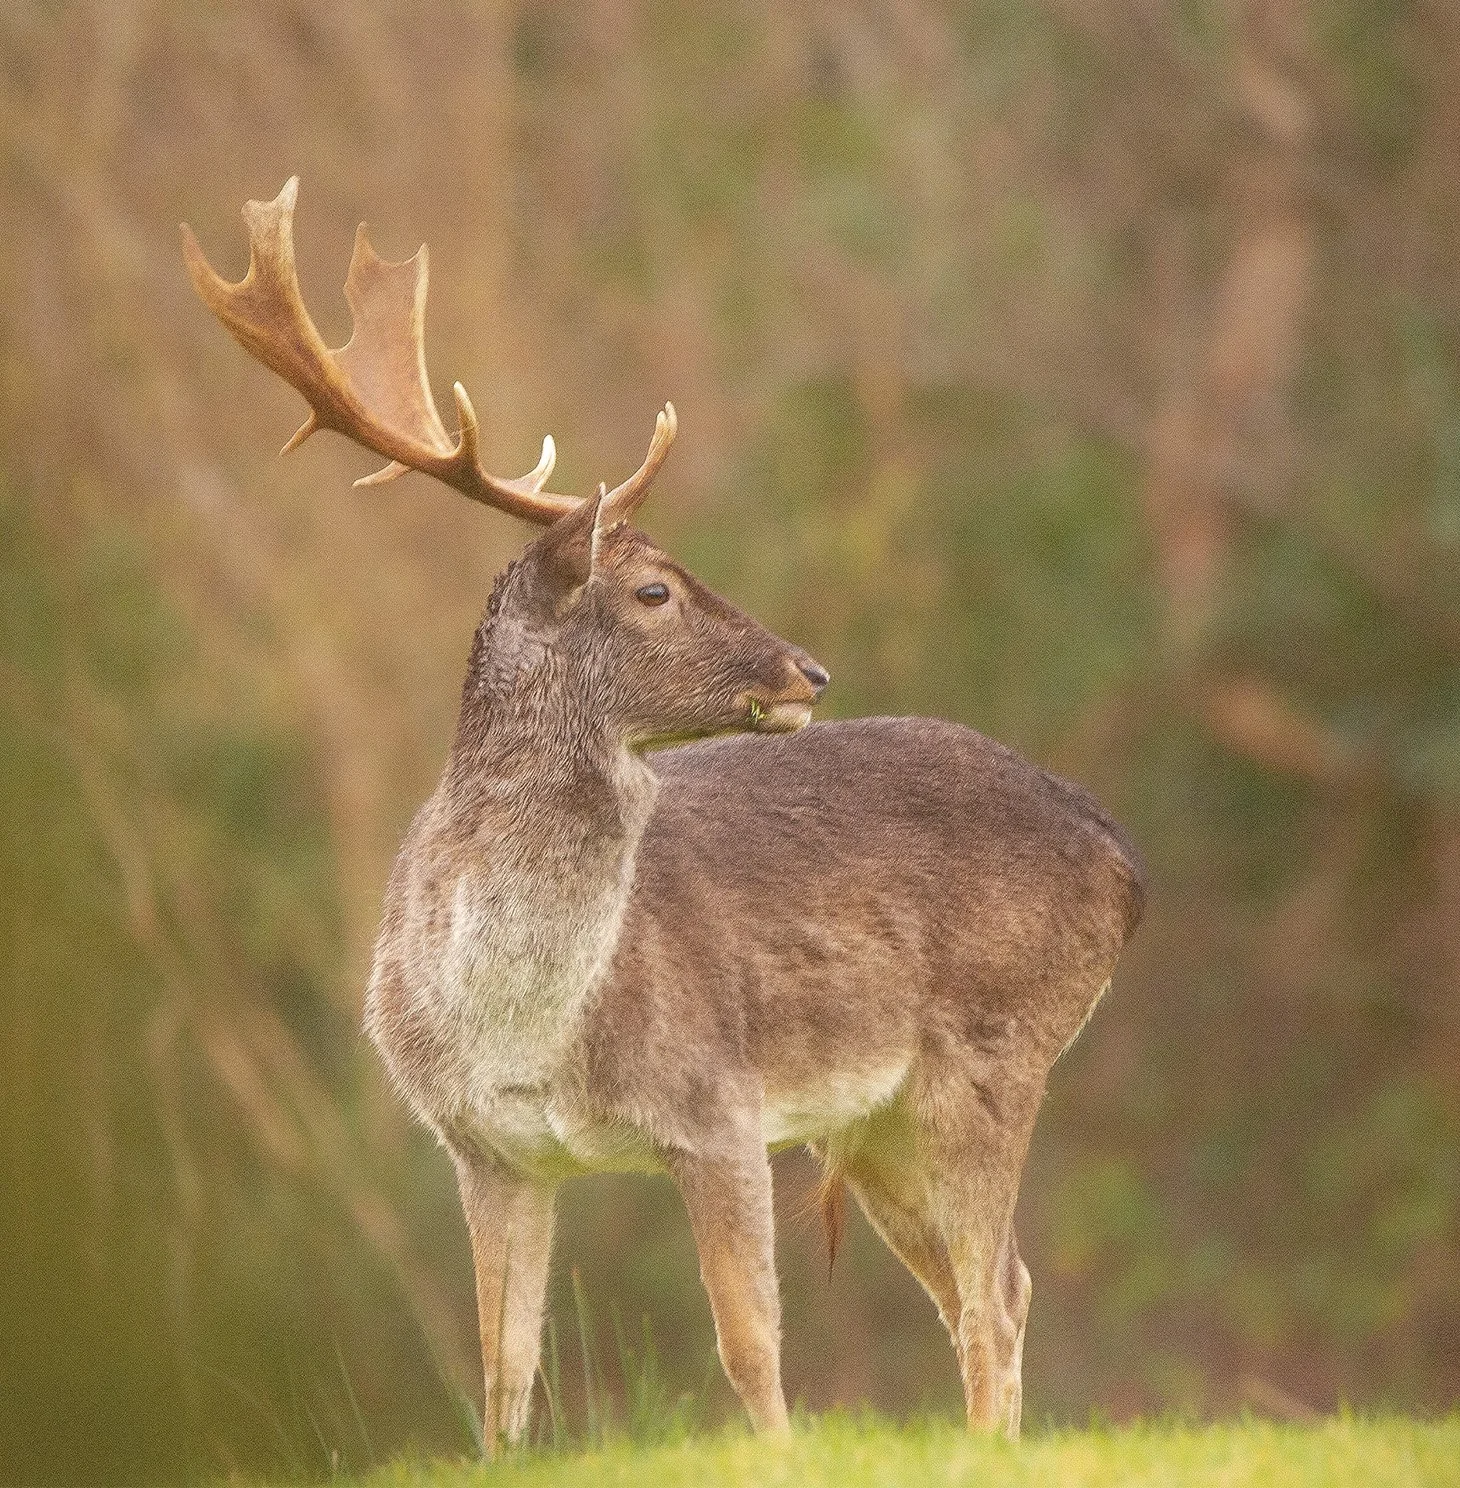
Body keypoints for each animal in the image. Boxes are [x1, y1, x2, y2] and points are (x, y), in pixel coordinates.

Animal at [183, 178, 1145, 1451]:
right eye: (652, 591)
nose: (806, 670)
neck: (521, 1021)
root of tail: (1123, 863)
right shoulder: (483, 1150)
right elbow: (503, 1374)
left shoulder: (714, 1104)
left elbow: (748, 1348)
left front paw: (778, 1460)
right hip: (877, 1116)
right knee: (992, 1290)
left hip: (994, 1044)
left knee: (991, 1295)